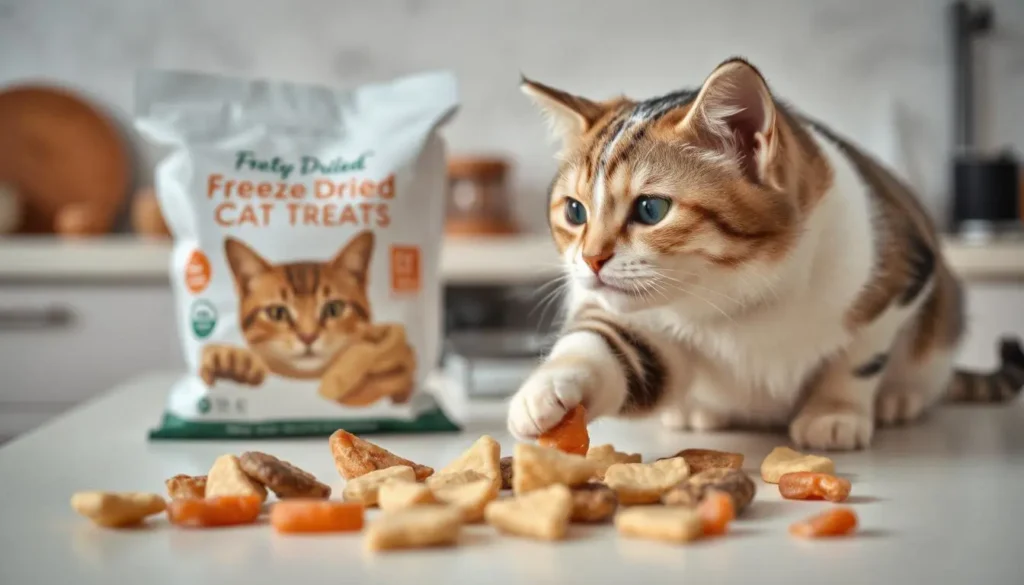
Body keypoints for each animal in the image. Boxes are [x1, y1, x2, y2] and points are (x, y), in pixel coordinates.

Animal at [509, 57, 1024, 450]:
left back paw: (900, 399)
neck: (739, 301)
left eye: (651, 209)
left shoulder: (901, 275)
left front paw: (835, 413)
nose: (590, 260)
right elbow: (609, 346)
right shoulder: (640, 323)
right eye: (574, 211)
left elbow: (859, 356)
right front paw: (544, 391)